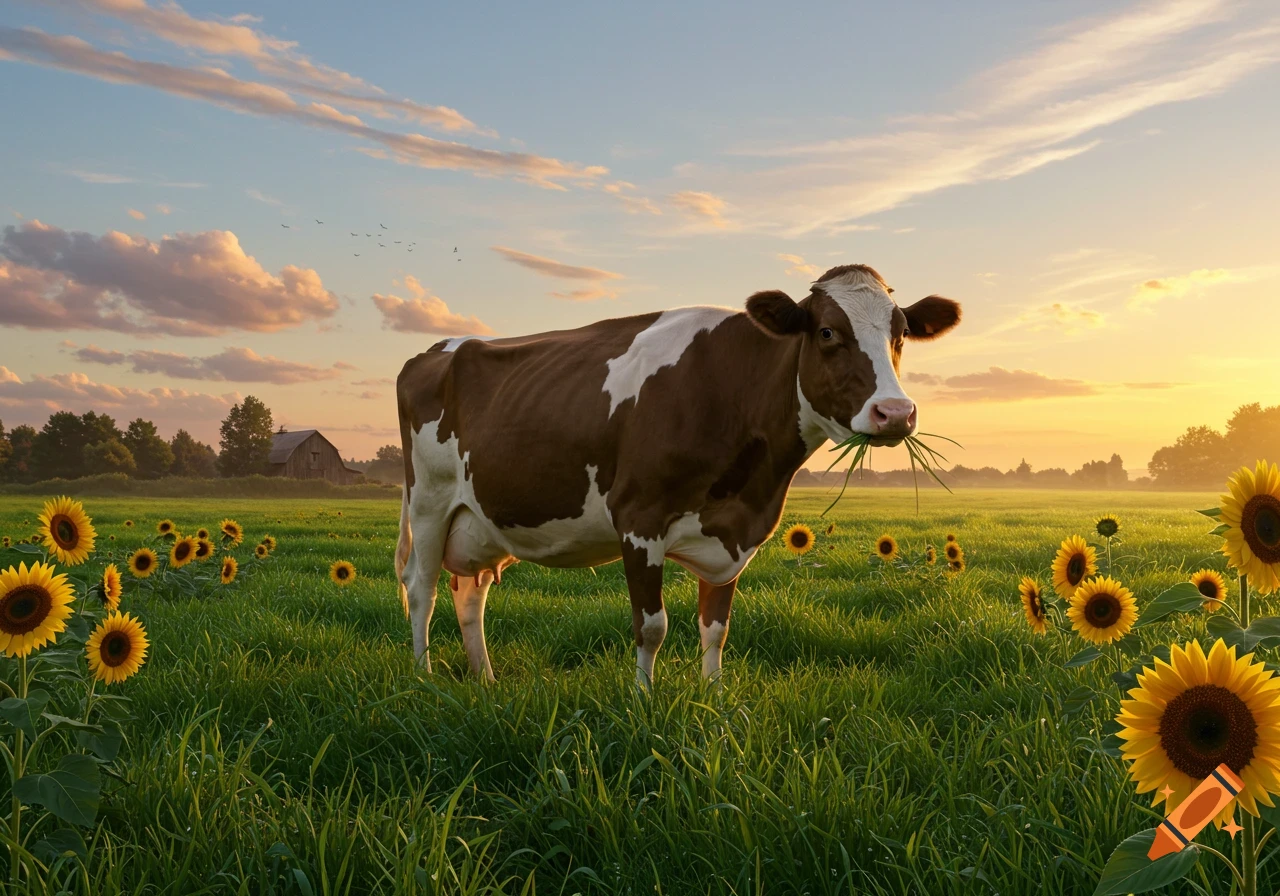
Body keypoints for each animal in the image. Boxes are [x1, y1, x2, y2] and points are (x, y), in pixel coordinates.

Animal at [395, 264, 961, 684]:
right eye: (826, 332)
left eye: (901, 335)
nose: (895, 412)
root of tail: (440, 348)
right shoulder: (639, 520)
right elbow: (651, 627)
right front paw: (642, 704)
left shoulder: (733, 535)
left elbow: (716, 629)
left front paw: (713, 700)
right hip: (428, 503)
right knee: (422, 589)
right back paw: (423, 677)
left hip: (479, 519)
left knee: (470, 594)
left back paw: (485, 679)